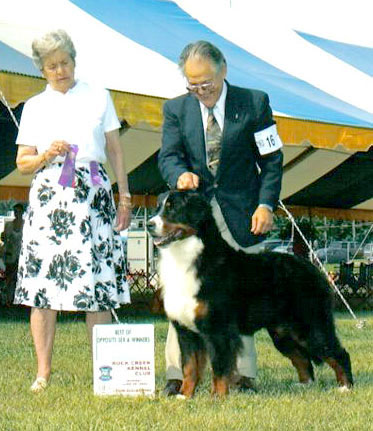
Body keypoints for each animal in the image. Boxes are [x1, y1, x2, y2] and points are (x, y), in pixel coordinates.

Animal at [146, 191, 352, 400]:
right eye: (158, 207)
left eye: (173, 208)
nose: (148, 224)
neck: (189, 257)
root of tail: (313, 269)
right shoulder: (186, 331)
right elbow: (189, 367)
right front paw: (184, 395)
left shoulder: (218, 329)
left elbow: (219, 367)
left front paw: (217, 397)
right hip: (282, 332)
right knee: (302, 358)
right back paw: (304, 385)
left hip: (311, 325)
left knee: (338, 353)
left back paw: (345, 387)